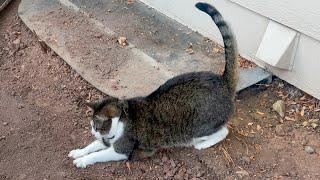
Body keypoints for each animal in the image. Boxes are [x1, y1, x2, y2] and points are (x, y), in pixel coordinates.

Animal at [69, 2, 238, 169]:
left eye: (96, 127)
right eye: (91, 126)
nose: (92, 132)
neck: (122, 121)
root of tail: (222, 81)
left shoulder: (122, 150)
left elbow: (98, 154)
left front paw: (83, 160)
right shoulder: (106, 141)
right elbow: (92, 145)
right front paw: (79, 152)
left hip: (197, 129)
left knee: (224, 131)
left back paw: (203, 144)